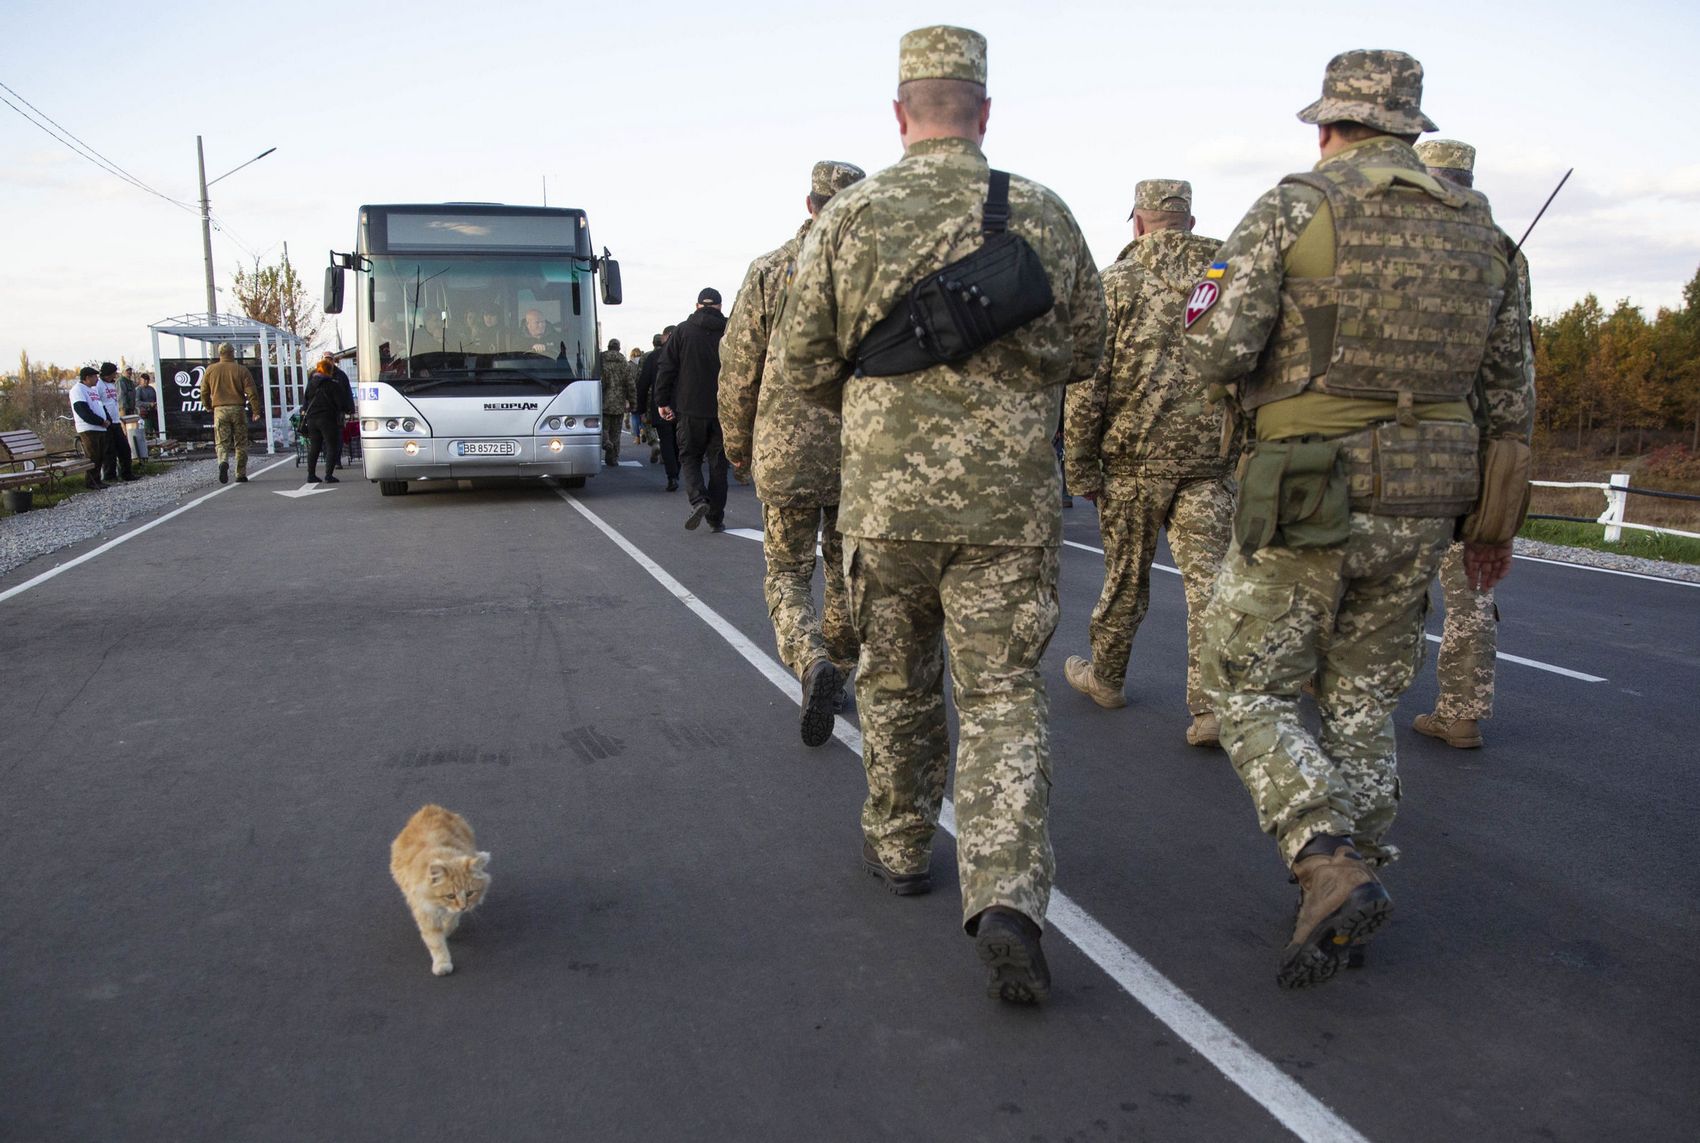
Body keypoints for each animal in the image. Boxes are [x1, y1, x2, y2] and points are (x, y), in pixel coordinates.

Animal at [389, 802, 489, 972]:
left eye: (470, 893)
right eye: (450, 896)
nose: (463, 907)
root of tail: (430, 807)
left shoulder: (453, 911)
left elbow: (451, 921)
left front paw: (447, 929)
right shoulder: (424, 910)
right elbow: (435, 940)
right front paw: (442, 963)